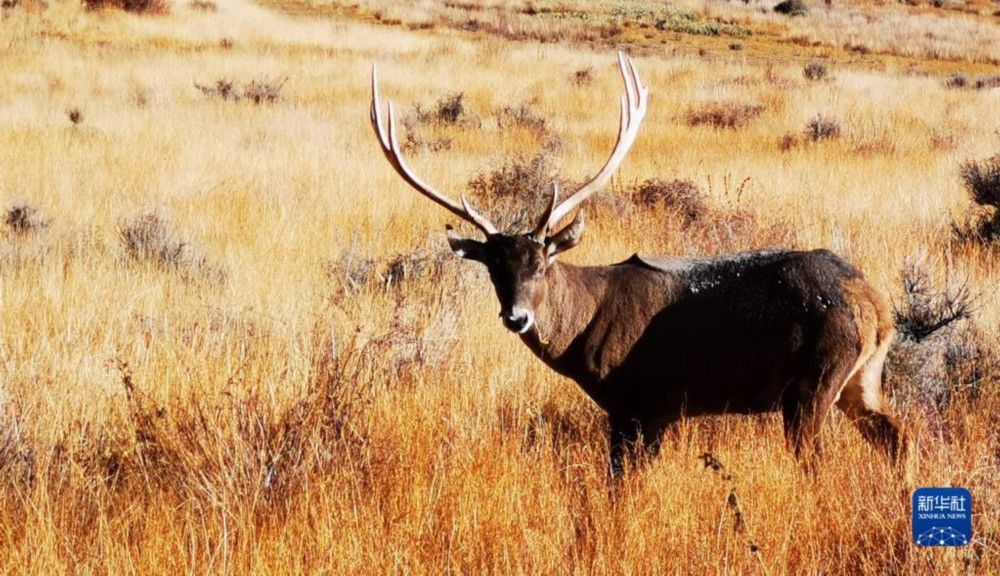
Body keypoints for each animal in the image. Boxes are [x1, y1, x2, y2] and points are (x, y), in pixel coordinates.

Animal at [372, 53, 912, 476]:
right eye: (493, 268)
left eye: (542, 264)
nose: (517, 316)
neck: (587, 329)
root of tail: (877, 306)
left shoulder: (646, 400)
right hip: (861, 378)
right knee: (898, 436)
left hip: (814, 379)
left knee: (819, 459)